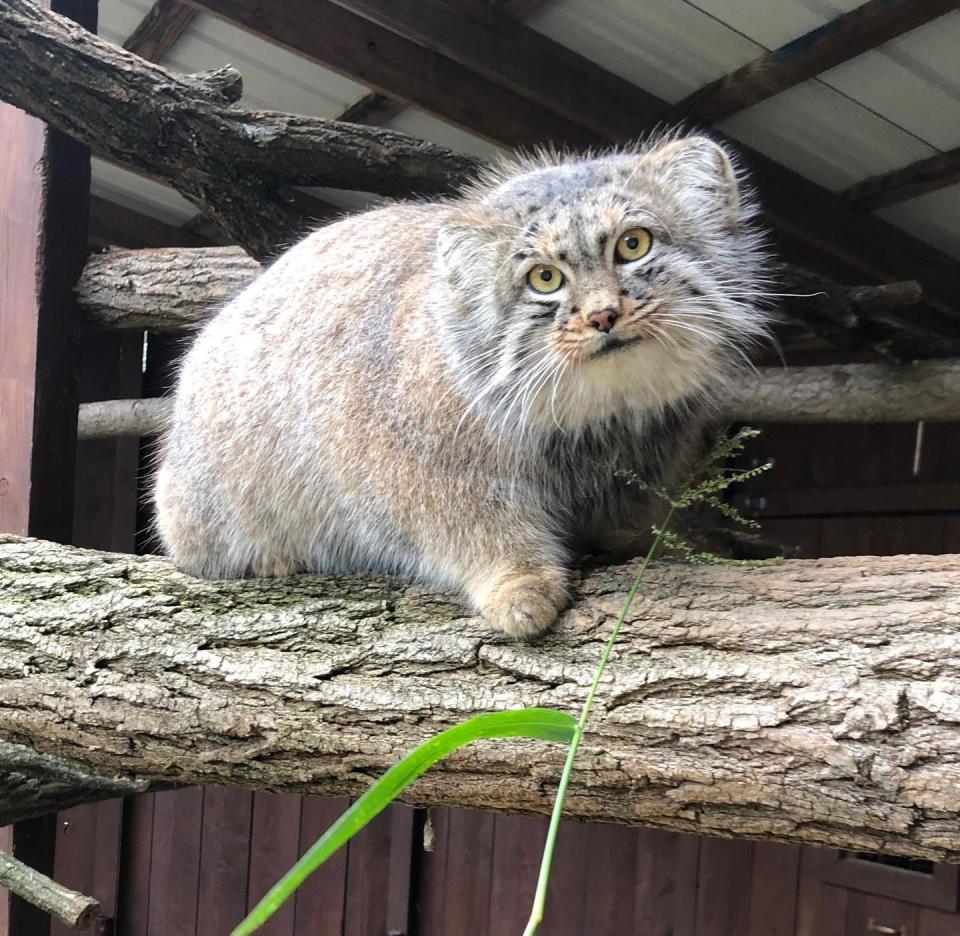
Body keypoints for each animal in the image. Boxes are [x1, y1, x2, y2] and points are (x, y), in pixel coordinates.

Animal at [156, 133, 764, 636]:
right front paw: (518, 582)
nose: (602, 316)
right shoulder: (410, 468)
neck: (596, 419)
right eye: (544, 277)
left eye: (633, 245)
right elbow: (470, 525)